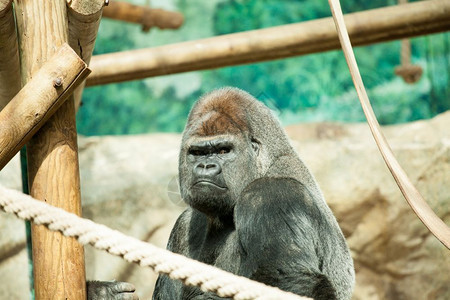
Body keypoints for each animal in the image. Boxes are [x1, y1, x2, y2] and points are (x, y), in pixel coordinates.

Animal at [153, 87, 354, 300]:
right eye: (198, 153)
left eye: (224, 150)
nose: (205, 166)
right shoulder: (182, 226)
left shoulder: (270, 194)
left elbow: (293, 282)